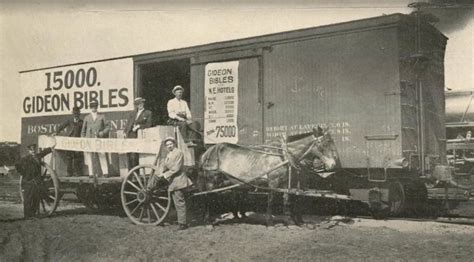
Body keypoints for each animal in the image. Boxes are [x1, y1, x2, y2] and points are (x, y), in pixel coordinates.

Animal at [198, 126, 338, 225]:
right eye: (325, 143)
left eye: (332, 142)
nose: (333, 164)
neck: (283, 155)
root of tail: (207, 152)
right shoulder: (273, 182)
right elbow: (270, 200)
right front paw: (269, 221)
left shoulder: (285, 182)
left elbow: (286, 200)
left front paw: (289, 220)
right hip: (211, 179)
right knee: (208, 196)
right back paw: (208, 221)